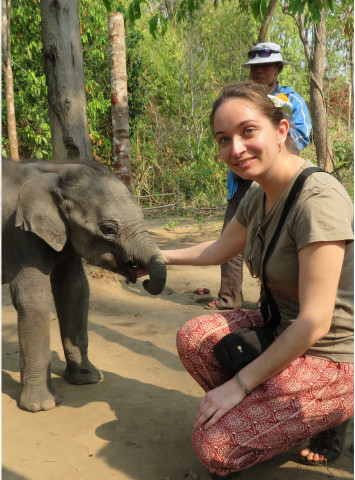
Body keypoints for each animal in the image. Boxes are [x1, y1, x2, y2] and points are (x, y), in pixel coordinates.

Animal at [2, 160, 167, 412]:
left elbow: (74, 290)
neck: (56, 172)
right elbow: (34, 298)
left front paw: (87, 378)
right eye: (108, 229)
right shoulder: (19, 235)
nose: (144, 279)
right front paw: (41, 406)